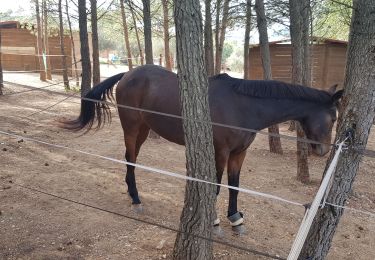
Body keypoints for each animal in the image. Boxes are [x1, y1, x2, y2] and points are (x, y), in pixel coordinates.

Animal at [63, 64, 346, 229]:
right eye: (333, 118)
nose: (322, 151)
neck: (244, 106)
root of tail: (128, 74)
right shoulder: (220, 152)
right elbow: (216, 185)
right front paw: (214, 219)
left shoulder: (239, 154)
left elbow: (234, 185)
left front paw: (235, 218)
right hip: (132, 129)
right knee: (129, 159)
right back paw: (135, 198)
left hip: (143, 129)